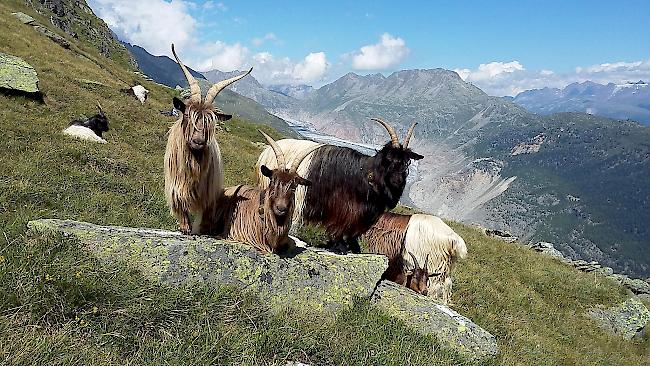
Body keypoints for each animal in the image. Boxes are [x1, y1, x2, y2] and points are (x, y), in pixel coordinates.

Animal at [162, 44, 251, 233]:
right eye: (187, 115)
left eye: (210, 121)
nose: (198, 141)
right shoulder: (176, 187)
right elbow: (181, 207)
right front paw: (185, 227)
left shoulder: (209, 192)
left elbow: (206, 213)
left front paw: (203, 229)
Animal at [253, 118, 426, 253]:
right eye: (389, 159)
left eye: (407, 162)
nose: (398, 181)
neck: (366, 175)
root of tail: (265, 153)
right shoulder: (341, 207)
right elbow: (339, 228)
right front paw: (340, 246)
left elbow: (351, 232)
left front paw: (352, 247)